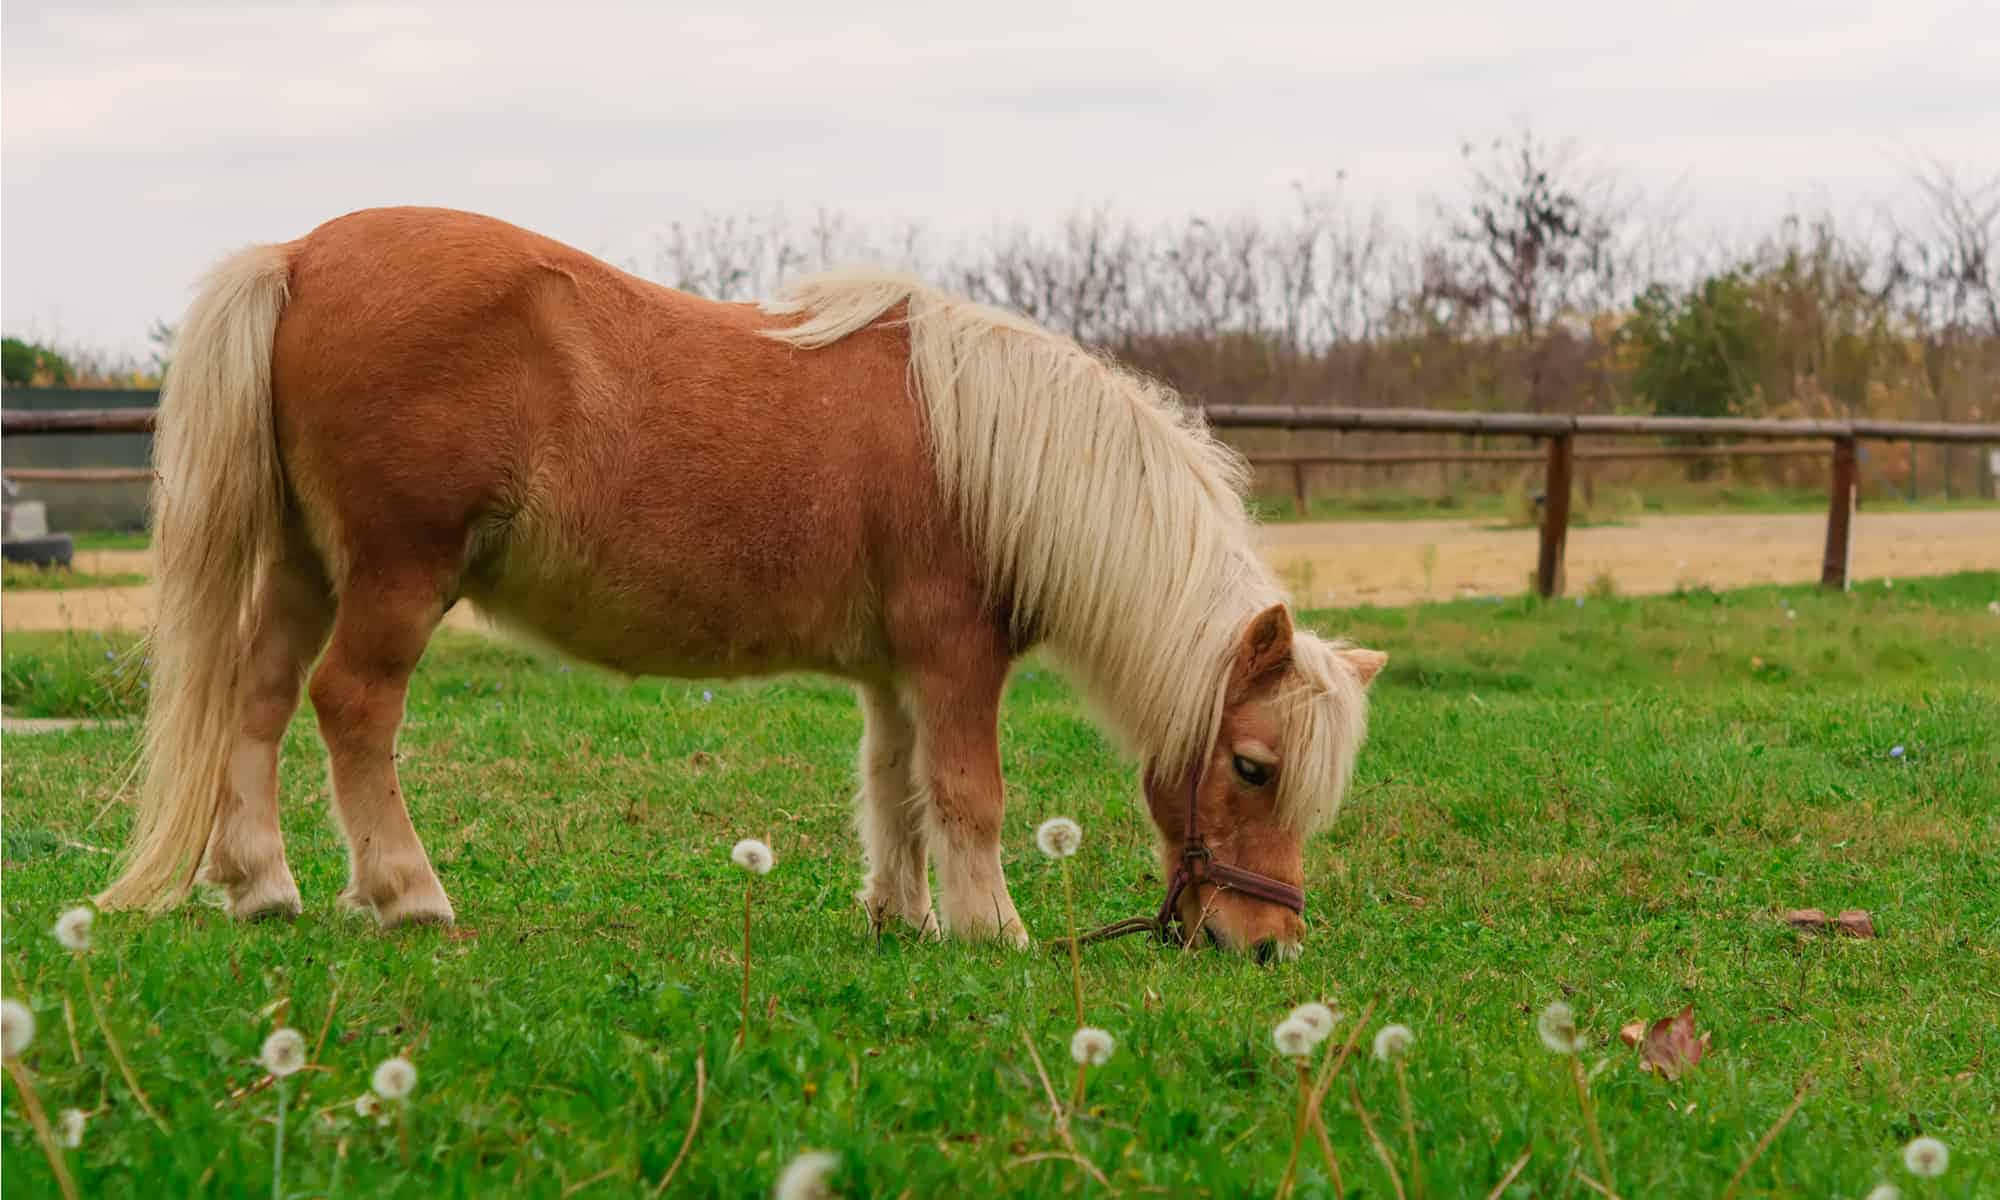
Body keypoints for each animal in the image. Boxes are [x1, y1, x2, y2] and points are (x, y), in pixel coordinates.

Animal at [94, 206, 1386, 959]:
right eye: (1252, 766)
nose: (1265, 946)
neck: (996, 455)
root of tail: (300, 256)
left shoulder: (894, 676)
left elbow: (894, 789)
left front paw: (903, 916)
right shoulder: (953, 659)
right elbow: (968, 794)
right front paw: (992, 929)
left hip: (306, 567)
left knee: (258, 700)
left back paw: (261, 885)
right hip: (396, 577)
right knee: (350, 707)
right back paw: (408, 893)